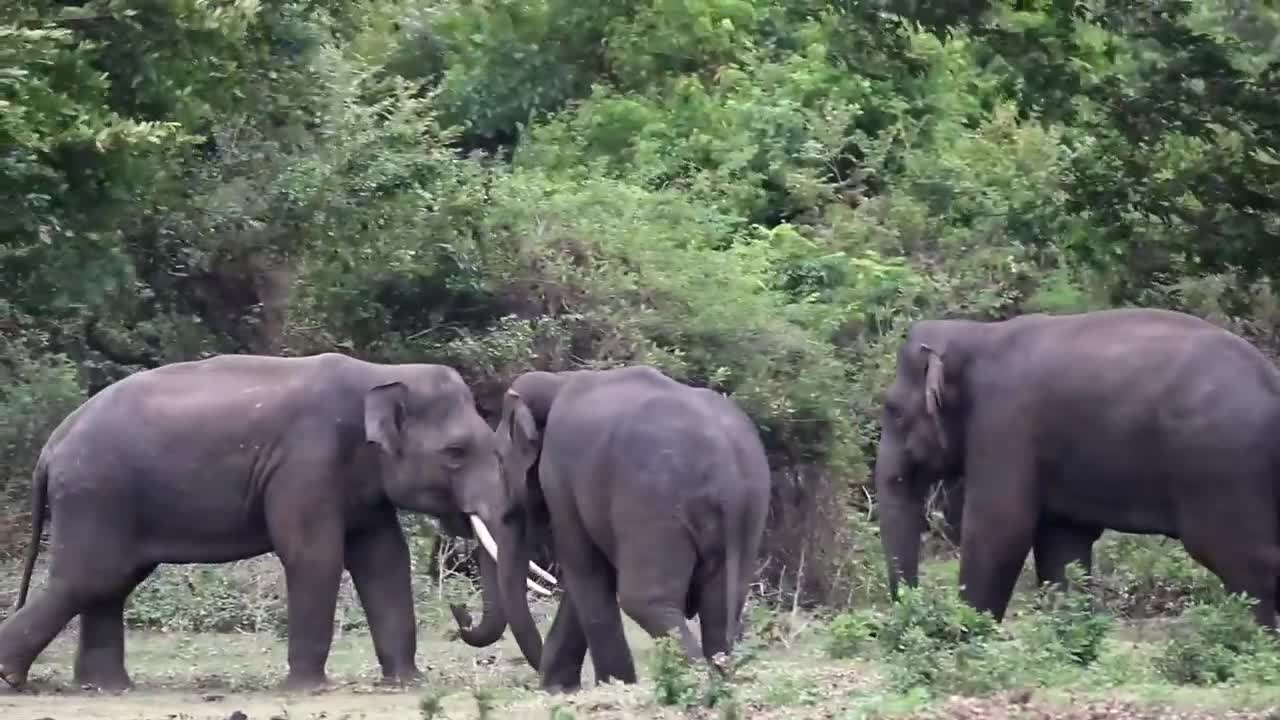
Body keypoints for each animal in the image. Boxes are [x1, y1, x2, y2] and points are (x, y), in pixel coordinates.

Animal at [0, 351, 552, 691]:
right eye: (456, 453)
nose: (460, 613)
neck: (380, 374)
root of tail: (52, 446)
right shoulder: (307, 460)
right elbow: (315, 556)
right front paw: (308, 687)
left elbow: (385, 562)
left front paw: (407, 683)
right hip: (96, 492)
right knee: (90, 577)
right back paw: (12, 678)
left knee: (110, 582)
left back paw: (106, 688)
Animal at [460, 368, 768, 691]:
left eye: (499, 459)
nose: (462, 614)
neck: (559, 381)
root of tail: (726, 469)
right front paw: (561, 689)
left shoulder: (559, 476)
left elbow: (584, 569)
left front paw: (613, 684)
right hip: (749, 509)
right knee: (721, 605)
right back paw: (720, 677)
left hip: (653, 502)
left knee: (644, 600)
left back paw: (694, 680)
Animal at [875, 304, 1280, 625]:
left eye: (893, 411)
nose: (910, 605)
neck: (975, 334)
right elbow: (1063, 542)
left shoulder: (1005, 423)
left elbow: (1000, 527)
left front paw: (967, 632)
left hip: (1222, 464)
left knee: (1242, 560)